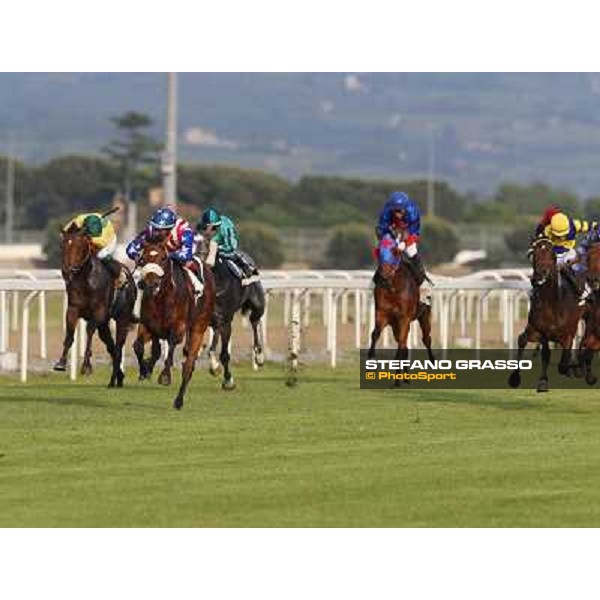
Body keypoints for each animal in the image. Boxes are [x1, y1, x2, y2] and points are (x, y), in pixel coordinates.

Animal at [53, 223, 138, 386]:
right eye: (63, 245)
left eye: (80, 246)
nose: (68, 270)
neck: (86, 280)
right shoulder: (73, 309)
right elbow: (69, 334)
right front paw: (61, 362)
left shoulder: (99, 311)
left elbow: (89, 331)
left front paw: (86, 365)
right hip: (104, 325)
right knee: (111, 347)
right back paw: (117, 378)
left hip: (122, 318)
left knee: (118, 346)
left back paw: (116, 379)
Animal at [133, 234, 216, 408]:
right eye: (142, 259)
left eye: (163, 258)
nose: (151, 284)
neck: (162, 298)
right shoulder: (147, 325)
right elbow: (139, 346)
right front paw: (144, 370)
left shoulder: (178, 327)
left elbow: (170, 348)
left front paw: (165, 376)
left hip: (199, 327)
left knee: (188, 366)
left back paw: (178, 400)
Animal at [508, 237, 584, 392]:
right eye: (534, 254)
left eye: (551, 254)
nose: (542, 273)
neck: (552, 303)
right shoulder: (542, 332)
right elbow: (546, 354)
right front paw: (543, 381)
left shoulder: (568, 333)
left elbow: (564, 361)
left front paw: (571, 369)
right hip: (533, 330)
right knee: (522, 339)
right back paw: (514, 377)